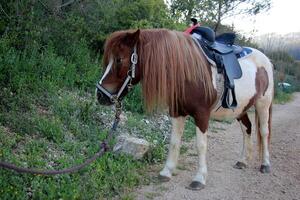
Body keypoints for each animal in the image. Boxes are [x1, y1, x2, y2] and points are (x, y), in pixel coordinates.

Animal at [96, 28, 274, 191]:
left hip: (263, 105)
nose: (100, 95)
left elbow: (201, 145)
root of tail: (266, 60)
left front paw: (199, 178)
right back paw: (242, 161)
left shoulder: (202, 115)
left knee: (264, 132)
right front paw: (166, 172)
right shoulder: (176, 112)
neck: (186, 71)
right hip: (241, 108)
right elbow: (174, 142)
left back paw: (265, 164)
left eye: (119, 60)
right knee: (247, 129)